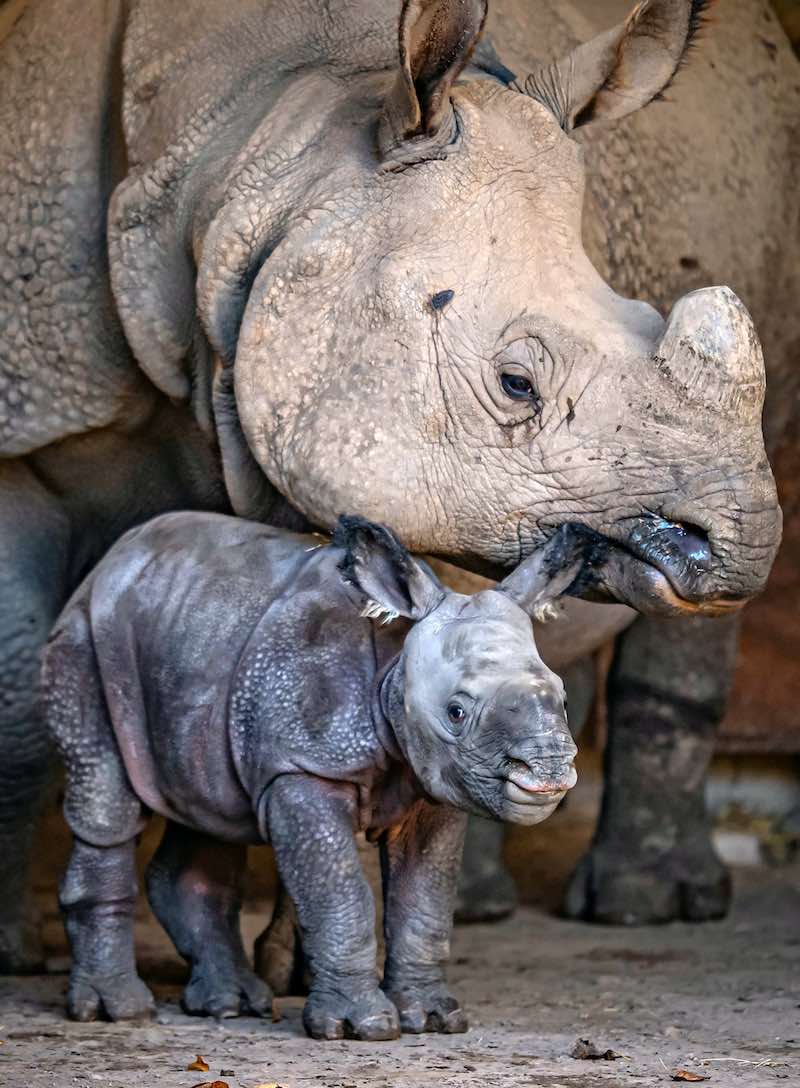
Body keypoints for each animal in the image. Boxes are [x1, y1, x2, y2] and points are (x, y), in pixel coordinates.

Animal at [0, 0, 788, 979]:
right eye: (517, 385)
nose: (745, 543)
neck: (263, 154)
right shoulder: (32, 418)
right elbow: (19, 689)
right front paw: (16, 954)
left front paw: (298, 971)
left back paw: (644, 909)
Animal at [43, 513, 592, 1040]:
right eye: (456, 712)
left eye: (563, 698)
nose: (546, 772)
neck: (394, 666)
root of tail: (114, 559)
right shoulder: (301, 767)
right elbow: (341, 895)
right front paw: (359, 1027)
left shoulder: (435, 783)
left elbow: (425, 901)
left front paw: (433, 1018)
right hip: (89, 638)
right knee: (107, 805)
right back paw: (119, 1011)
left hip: (195, 630)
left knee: (208, 809)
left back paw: (229, 1005)